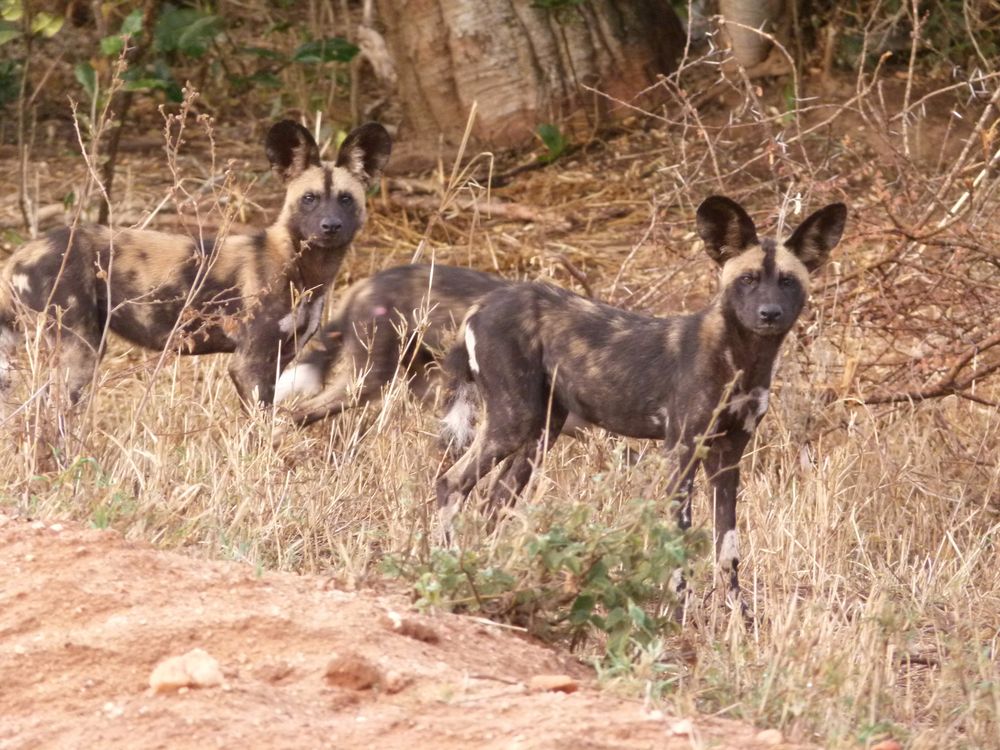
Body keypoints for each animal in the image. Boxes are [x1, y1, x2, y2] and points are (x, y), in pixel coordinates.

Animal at [0, 121, 390, 414]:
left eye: (346, 199)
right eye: (309, 199)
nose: (330, 226)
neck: (306, 272)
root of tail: (18, 255)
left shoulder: (281, 358)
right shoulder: (249, 363)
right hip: (80, 351)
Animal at [436, 197, 844, 612]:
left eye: (787, 281)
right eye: (747, 280)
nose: (769, 314)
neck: (742, 359)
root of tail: (483, 304)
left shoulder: (728, 455)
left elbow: (727, 547)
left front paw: (737, 616)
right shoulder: (681, 449)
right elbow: (680, 538)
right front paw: (681, 611)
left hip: (539, 434)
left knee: (494, 502)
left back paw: (492, 572)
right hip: (513, 422)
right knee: (451, 483)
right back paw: (451, 568)